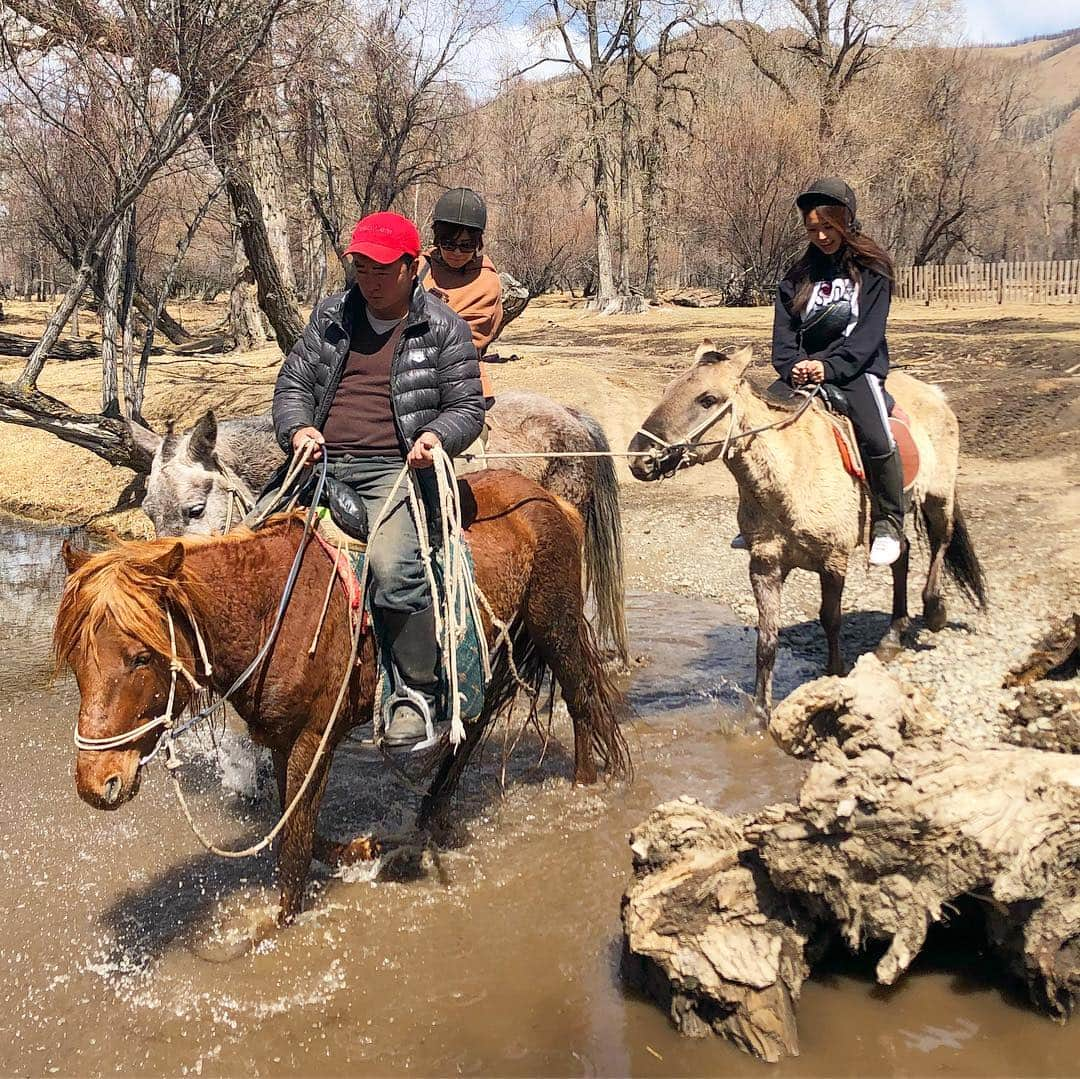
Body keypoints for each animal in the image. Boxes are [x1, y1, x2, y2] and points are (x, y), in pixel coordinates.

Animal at [54, 473, 630, 928]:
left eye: (140, 657)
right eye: (78, 660)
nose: (97, 783)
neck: (272, 609)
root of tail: (552, 500)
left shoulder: (315, 738)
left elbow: (293, 844)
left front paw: (277, 928)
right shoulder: (282, 739)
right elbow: (295, 828)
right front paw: (358, 850)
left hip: (555, 625)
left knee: (581, 697)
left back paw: (584, 785)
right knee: (470, 733)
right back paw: (429, 818)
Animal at [626, 345, 989, 717]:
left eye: (707, 399)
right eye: (667, 391)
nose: (639, 458)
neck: (791, 475)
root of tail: (934, 393)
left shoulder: (833, 561)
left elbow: (831, 619)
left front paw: (834, 674)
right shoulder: (765, 565)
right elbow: (766, 639)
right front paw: (760, 714)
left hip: (938, 497)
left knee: (940, 542)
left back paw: (933, 611)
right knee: (901, 555)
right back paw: (892, 635)